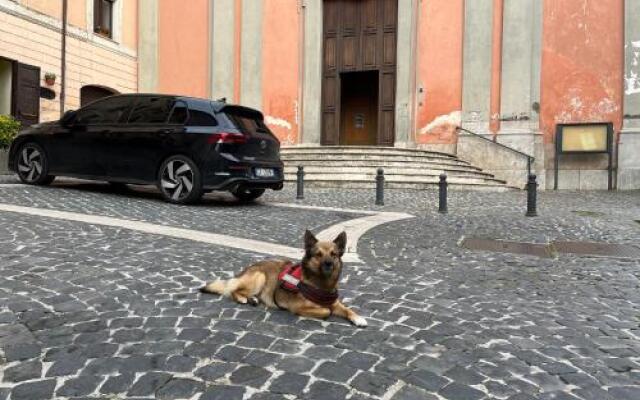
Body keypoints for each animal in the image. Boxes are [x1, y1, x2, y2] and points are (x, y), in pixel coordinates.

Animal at [202, 230, 368, 326]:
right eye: (318, 254)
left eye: (334, 254)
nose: (328, 264)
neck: (321, 283)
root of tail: (248, 268)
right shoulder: (298, 307)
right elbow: (326, 311)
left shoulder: (335, 303)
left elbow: (347, 309)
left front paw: (358, 318)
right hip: (260, 276)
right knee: (233, 290)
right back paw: (244, 298)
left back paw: (253, 299)